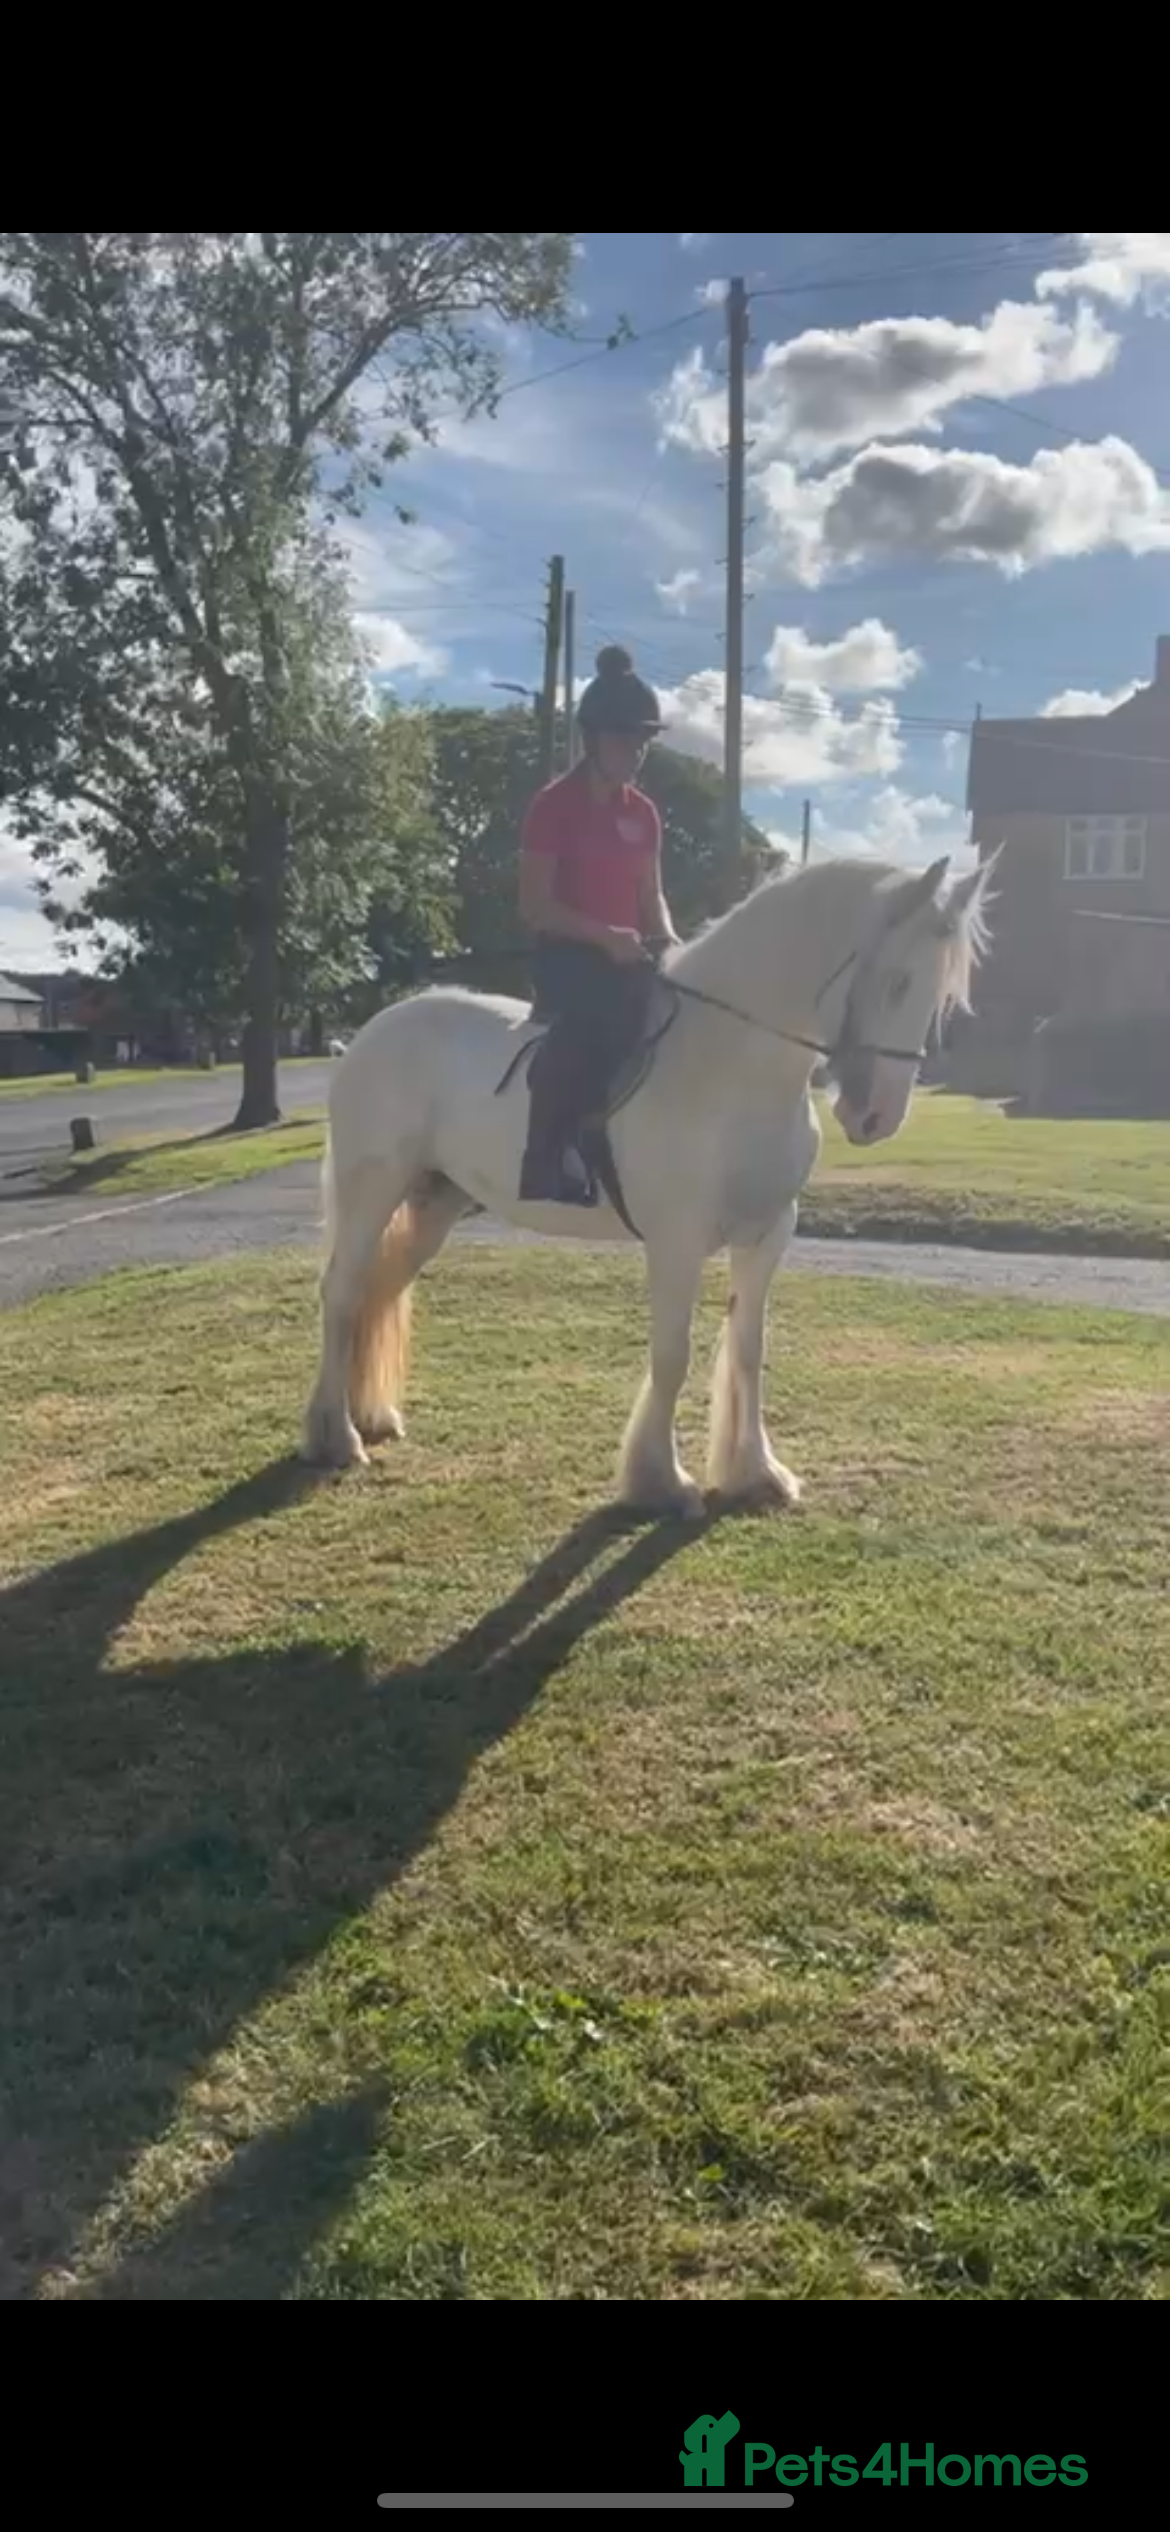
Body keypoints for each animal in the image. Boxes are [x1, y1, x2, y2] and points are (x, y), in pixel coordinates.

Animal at [300, 849, 996, 1516]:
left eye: (941, 995)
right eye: (897, 980)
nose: (877, 1117)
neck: (725, 1067)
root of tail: (374, 1031)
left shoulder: (768, 1235)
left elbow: (749, 1349)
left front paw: (756, 1473)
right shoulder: (676, 1243)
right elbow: (673, 1354)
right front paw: (660, 1481)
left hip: (436, 1200)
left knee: (379, 1288)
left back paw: (371, 1415)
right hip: (372, 1190)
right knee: (343, 1293)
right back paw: (337, 1437)